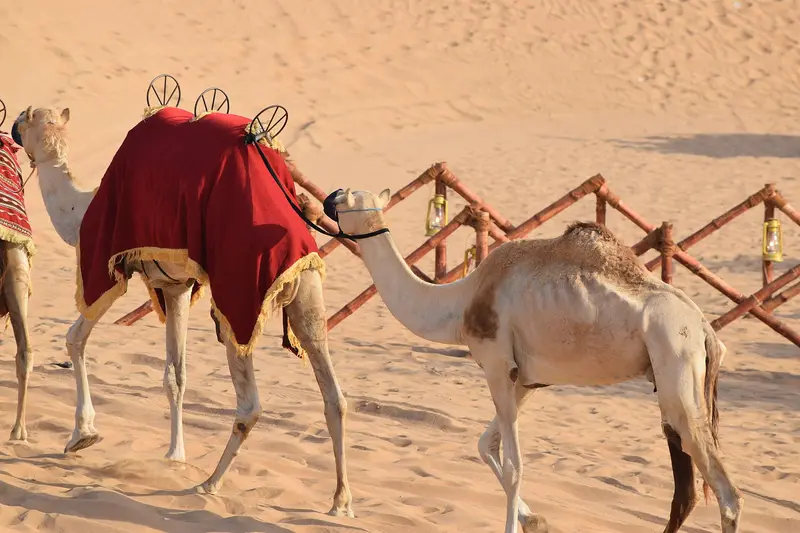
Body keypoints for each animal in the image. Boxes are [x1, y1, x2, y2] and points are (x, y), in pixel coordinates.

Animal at [12, 106, 353, 517]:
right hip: (306, 288)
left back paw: (209, 483)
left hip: (239, 295)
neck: (81, 209)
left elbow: (74, 338)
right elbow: (176, 375)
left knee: (250, 404)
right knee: (334, 395)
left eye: (26, 118)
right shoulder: (175, 286)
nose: (12, 127)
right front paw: (174, 455)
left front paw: (82, 435)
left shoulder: (112, 262)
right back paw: (340, 501)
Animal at [327, 188, 743, 533]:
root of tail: (705, 329)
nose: (326, 199)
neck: (459, 303)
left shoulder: (496, 364)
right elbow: (485, 444)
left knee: (726, 493)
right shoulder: (527, 380)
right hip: (668, 374)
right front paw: (534, 520)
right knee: (686, 487)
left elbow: (513, 466)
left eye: (345, 197)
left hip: (676, 357)